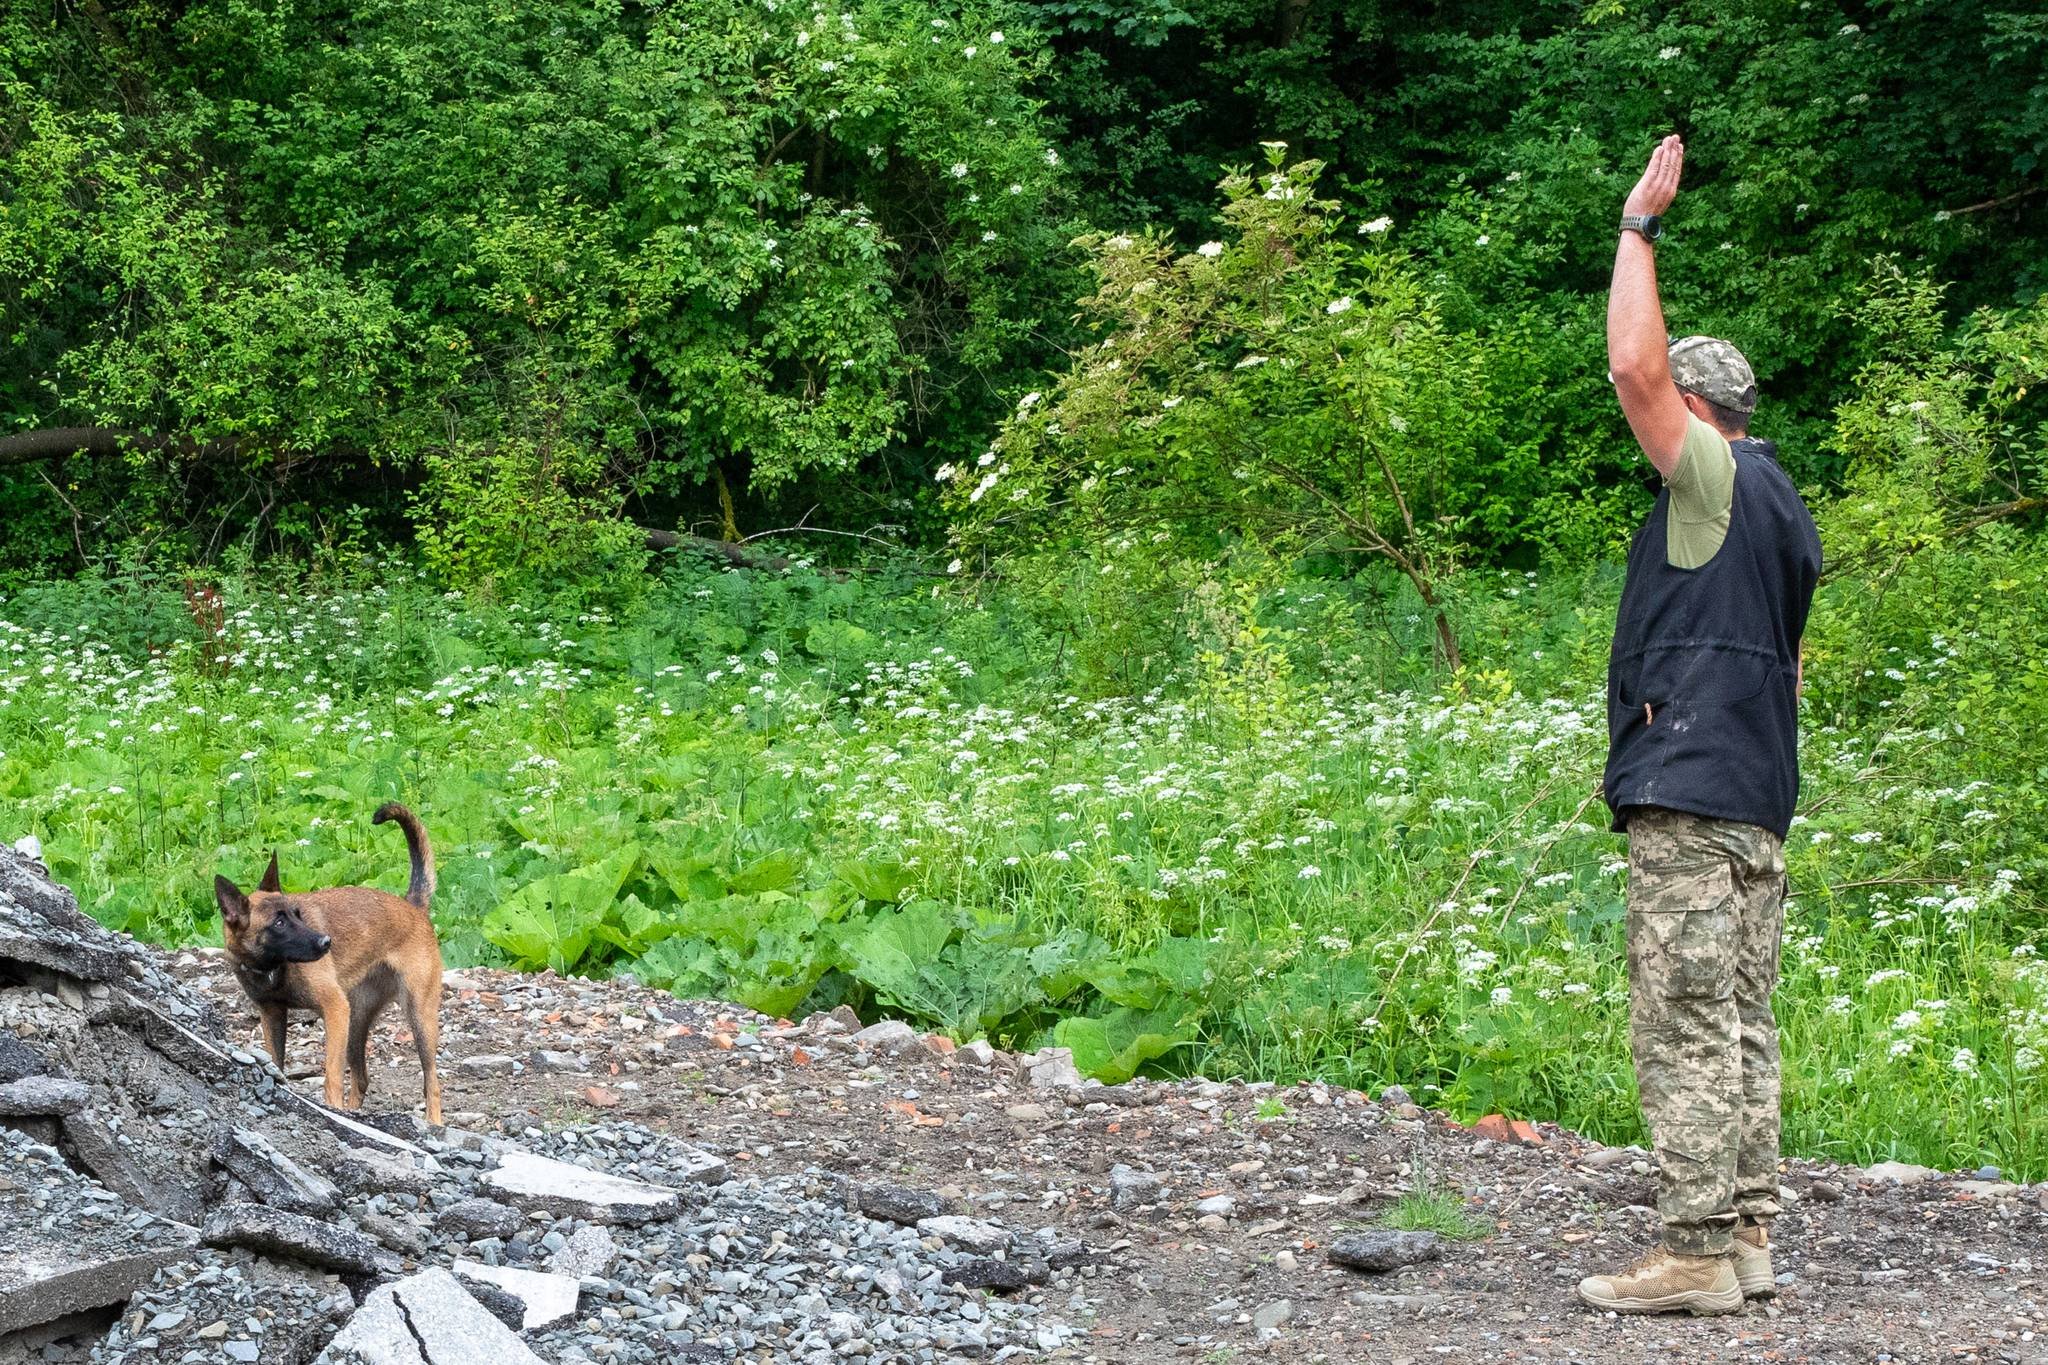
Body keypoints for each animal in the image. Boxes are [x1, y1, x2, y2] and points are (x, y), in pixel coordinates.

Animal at [214, 802, 442, 1121]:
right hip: (356, 1019)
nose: (326, 942)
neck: (274, 968)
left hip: (417, 1017)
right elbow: (276, 1060)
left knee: (431, 1083)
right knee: (361, 1078)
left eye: (298, 914)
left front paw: (331, 1105)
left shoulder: (333, 1009)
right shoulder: (272, 1014)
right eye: (279, 922)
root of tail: (413, 906)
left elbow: (332, 1074)